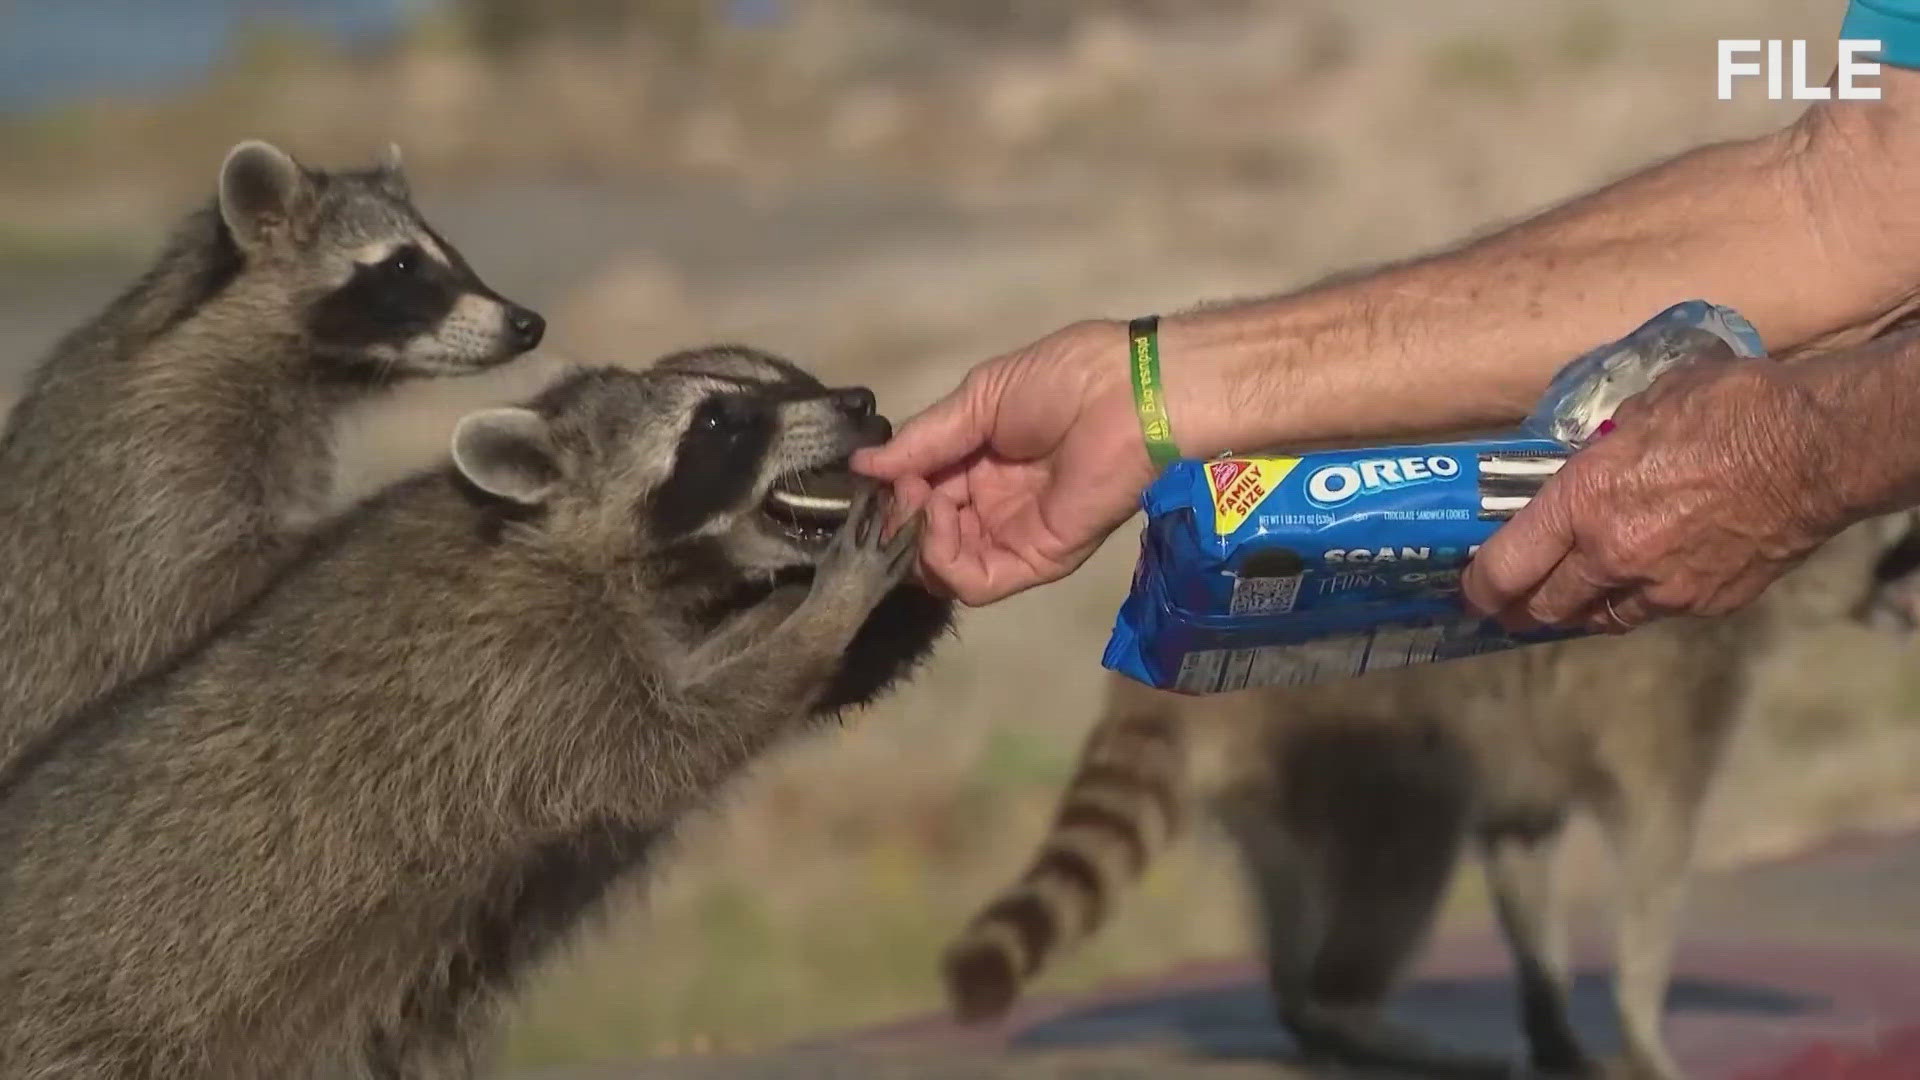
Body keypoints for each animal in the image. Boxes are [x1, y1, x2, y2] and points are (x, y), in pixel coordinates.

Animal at [0, 349, 954, 1079]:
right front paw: (831, 615)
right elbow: (670, 749)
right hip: (88, 1041)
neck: (553, 529)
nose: (858, 402)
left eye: (794, 379)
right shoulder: (524, 661)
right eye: (721, 421)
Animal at [943, 512, 1920, 1080]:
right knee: (1410, 848)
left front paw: (1554, 1014)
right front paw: (1642, 1028)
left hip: (1288, 780)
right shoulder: (1668, 689)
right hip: (1364, 738)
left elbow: (1523, 856)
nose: (1915, 609)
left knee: (1294, 879)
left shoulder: (1537, 752)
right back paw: (1348, 1010)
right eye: (1904, 543)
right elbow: (1653, 863)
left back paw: (1307, 1010)